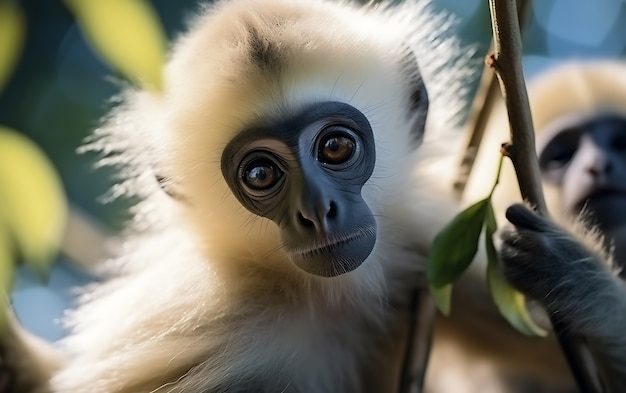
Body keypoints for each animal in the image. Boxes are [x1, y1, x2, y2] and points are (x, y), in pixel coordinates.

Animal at [2, 0, 472, 392]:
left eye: (336, 147)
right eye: (261, 174)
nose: (317, 211)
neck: (330, 297)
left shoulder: (425, 233)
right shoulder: (203, 311)